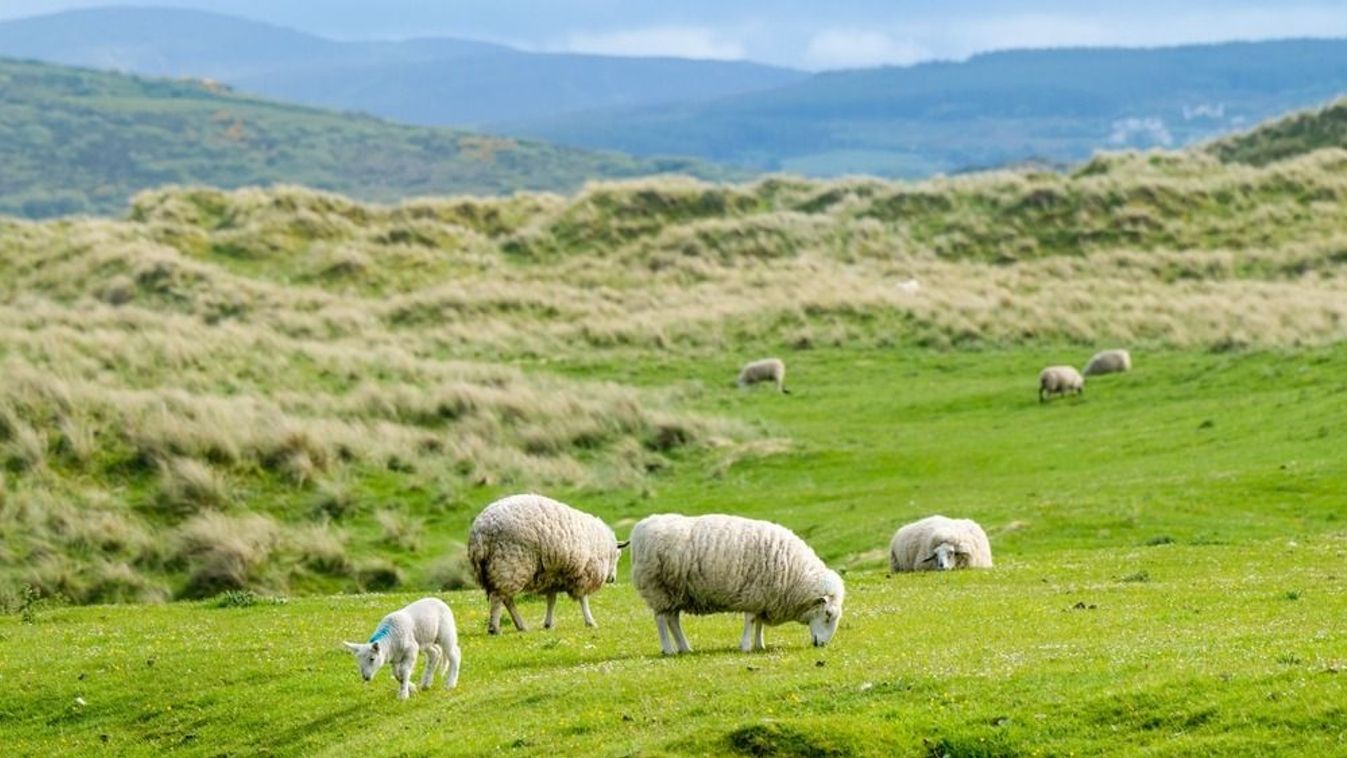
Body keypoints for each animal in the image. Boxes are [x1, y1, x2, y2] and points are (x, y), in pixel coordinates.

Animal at [466, 492, 627, 635]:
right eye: (618, 556)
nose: (613, 579)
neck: (605, 548)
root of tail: (480, 531)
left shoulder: (552, 576)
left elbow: (551, 600)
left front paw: (548, 623)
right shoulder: (583, 574)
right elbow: (583, 599)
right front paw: (590, 622)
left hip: (498, 569)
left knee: (506, 599)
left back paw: (520, 626)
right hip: (509, 564)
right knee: (499, 598)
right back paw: (495, 628)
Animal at [627, 514, 840, 654]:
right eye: (828, 615)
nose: (822, 645)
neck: (795, 573)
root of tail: (640, 527)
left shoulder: (764, 597)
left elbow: (759, 623)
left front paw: (759, 644)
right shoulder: (755, 593)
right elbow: (751, 620)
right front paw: (745, 646)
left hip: (675, 592)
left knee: (673, 620)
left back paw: (685, 648)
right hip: (657, 588)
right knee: (661, 620)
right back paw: (668, 649)